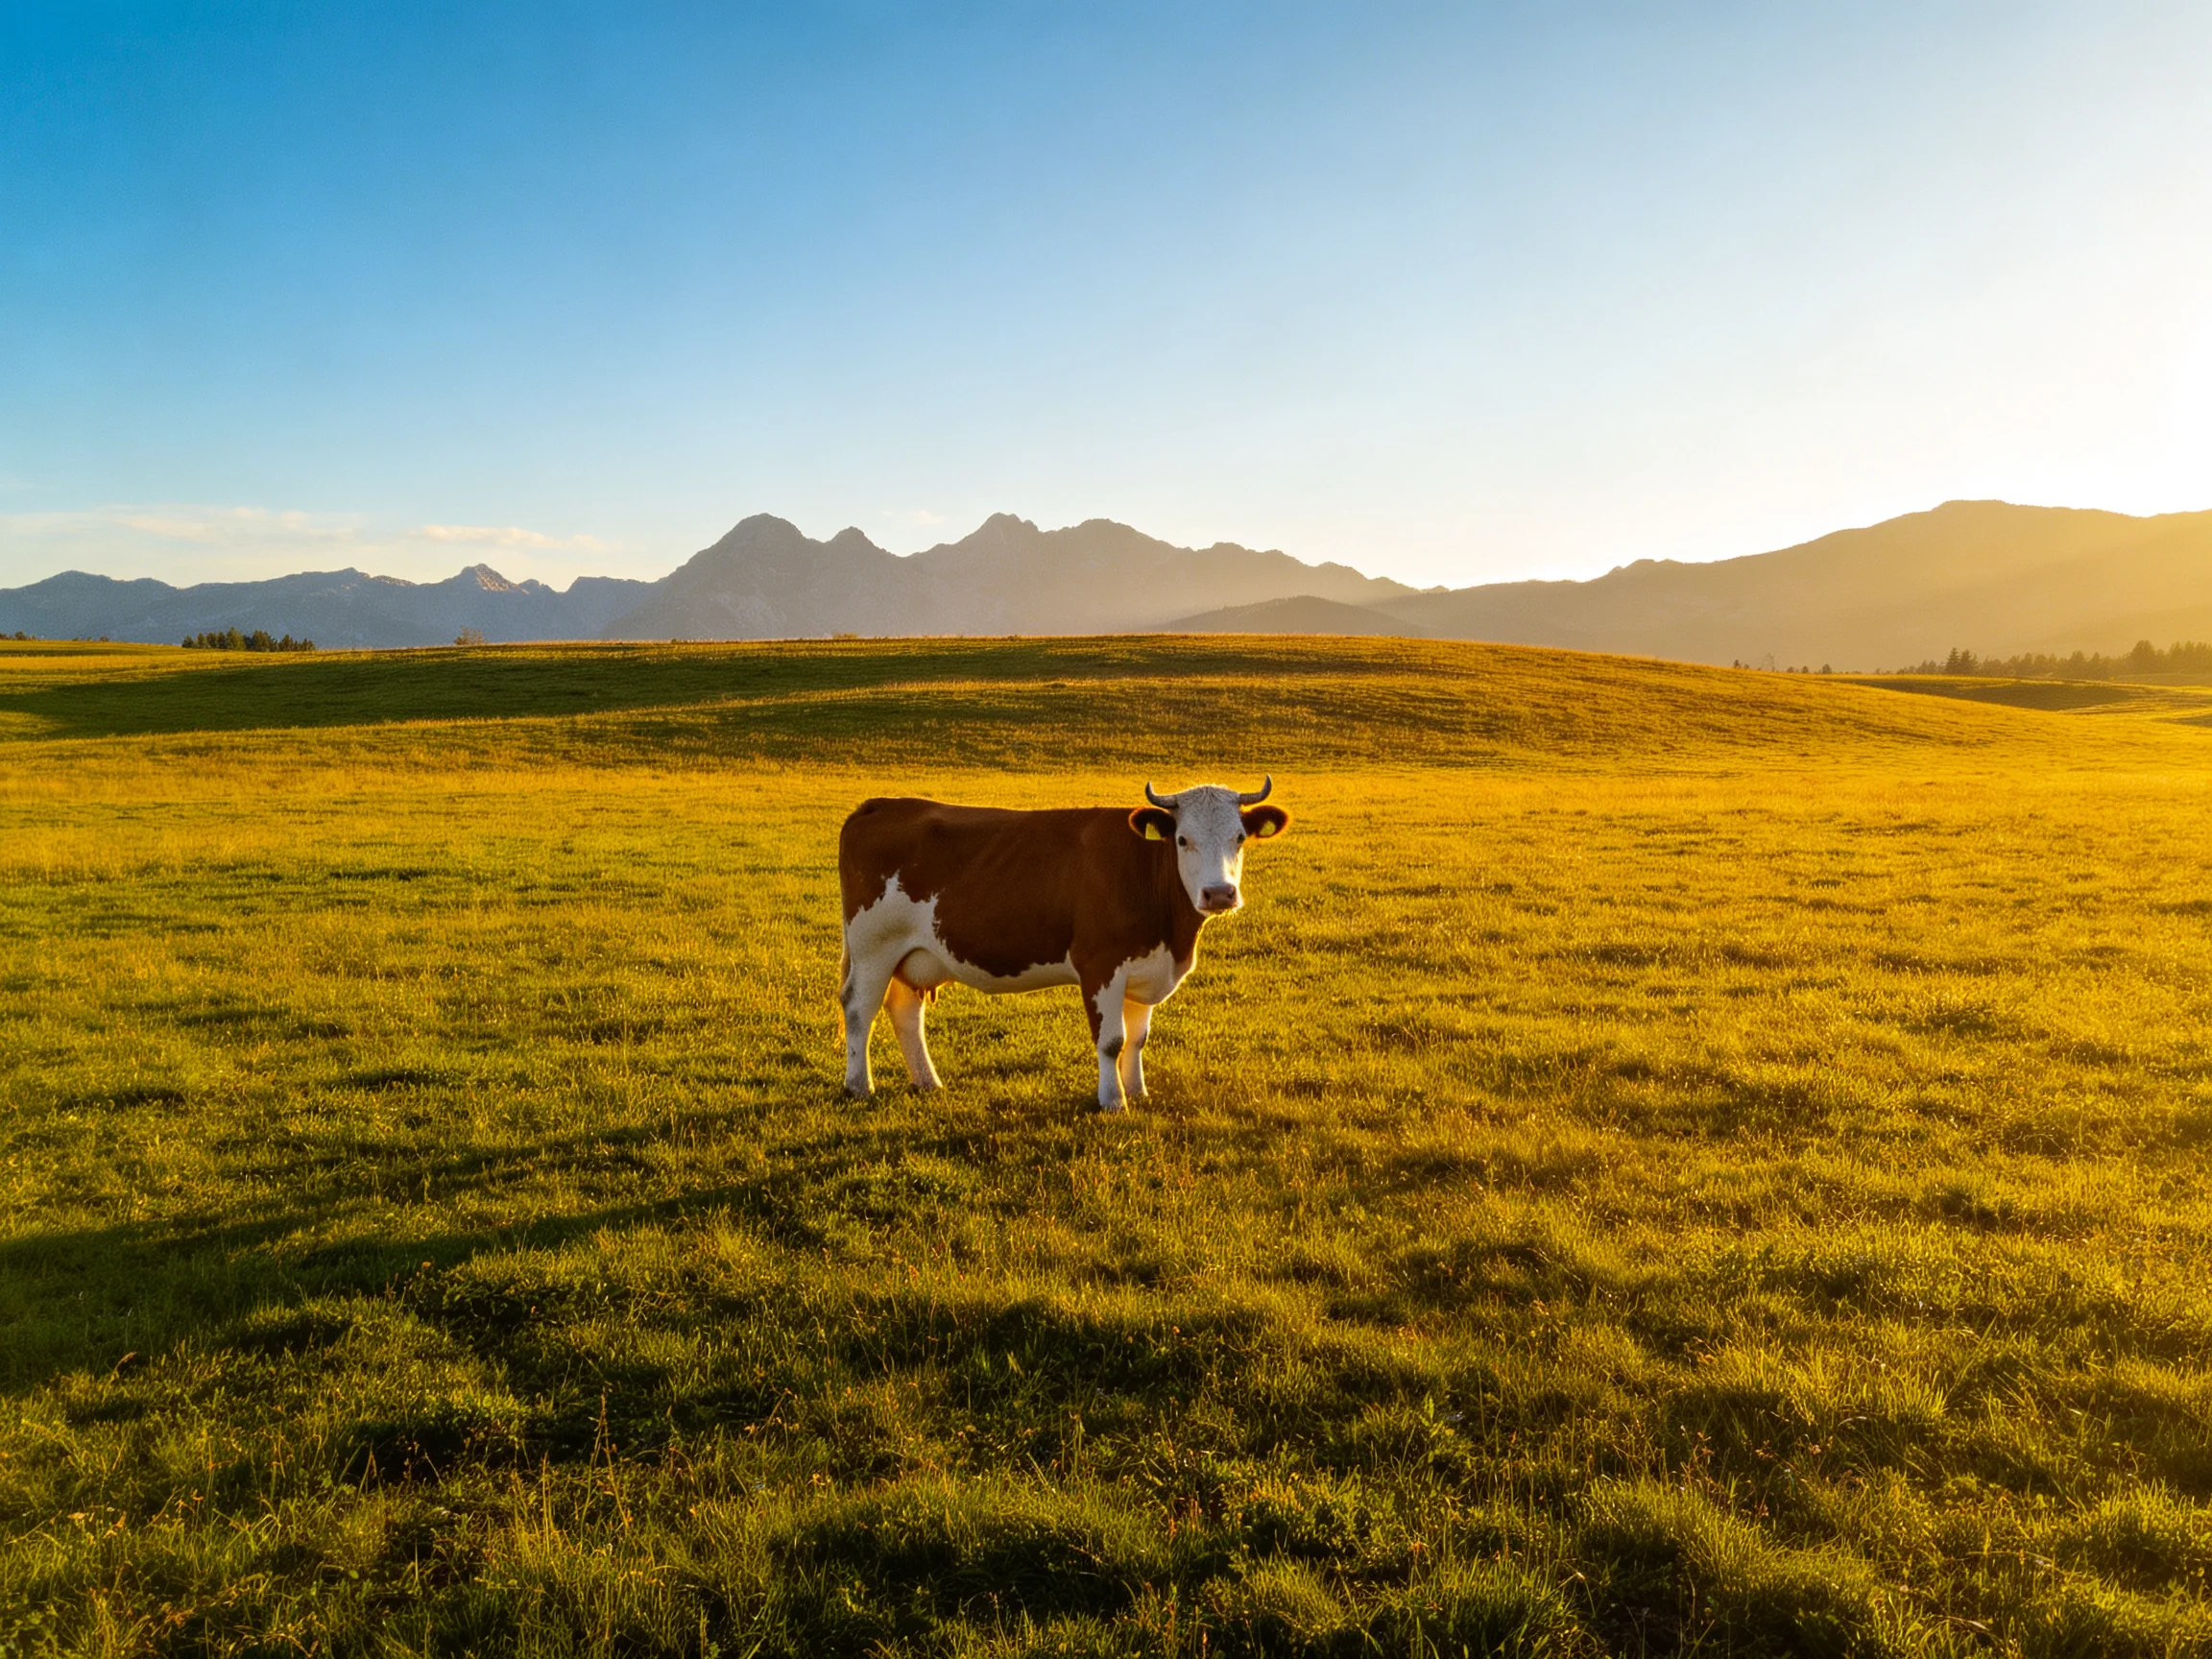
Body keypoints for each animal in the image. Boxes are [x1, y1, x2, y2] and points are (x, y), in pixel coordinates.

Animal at [837, 777, 1291, 1108]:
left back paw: (927, 1082)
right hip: (873, 947)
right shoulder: (1100, 964)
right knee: (860, 1009)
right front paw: (1113, 1101)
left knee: (905, 1010)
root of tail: (880, 804)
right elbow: (1111, 1041)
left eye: (1239, 837)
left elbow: (1137, 1039)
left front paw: (1139, 1092)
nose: (1219, 894)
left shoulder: (1147, 967)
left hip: (913, 954)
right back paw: (859, 1086)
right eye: (1182, 840)